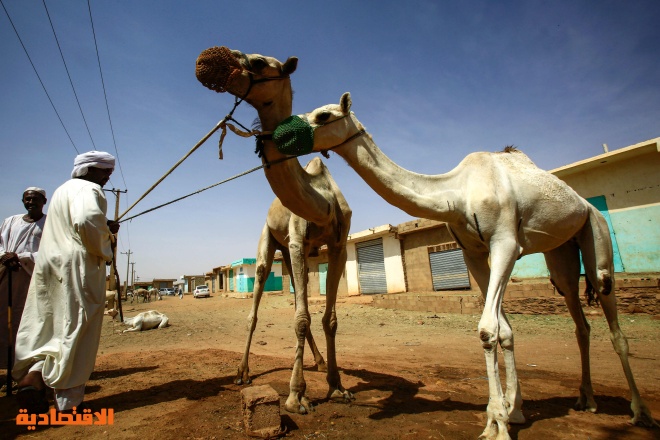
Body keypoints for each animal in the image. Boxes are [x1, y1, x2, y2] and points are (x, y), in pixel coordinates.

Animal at [193, 46, 354, 414]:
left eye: (256, 62)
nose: (205, 60)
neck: (321, 200)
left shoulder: (337, 245)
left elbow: (327, 318)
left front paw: (337, 386)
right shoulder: (295, 241)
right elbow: (302, 318)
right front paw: (296, 396)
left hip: (295, 251)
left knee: (296, 299)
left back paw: (319, 362)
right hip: (269, 245)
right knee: (255, 309)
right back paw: (242, 372)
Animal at [284, 92, 660, 436]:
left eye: (323, 115)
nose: (280, 134)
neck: (456, 194)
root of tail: (583, 203)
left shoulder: (505, 243)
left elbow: (487, 329)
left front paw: (496, 423)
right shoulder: (473, 251)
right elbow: (504, 331)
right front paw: (512, 410)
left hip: (594, 228)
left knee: (611, 311)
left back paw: (640, 413)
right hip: (561, 251)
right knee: (578, 315)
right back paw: (586, 399)